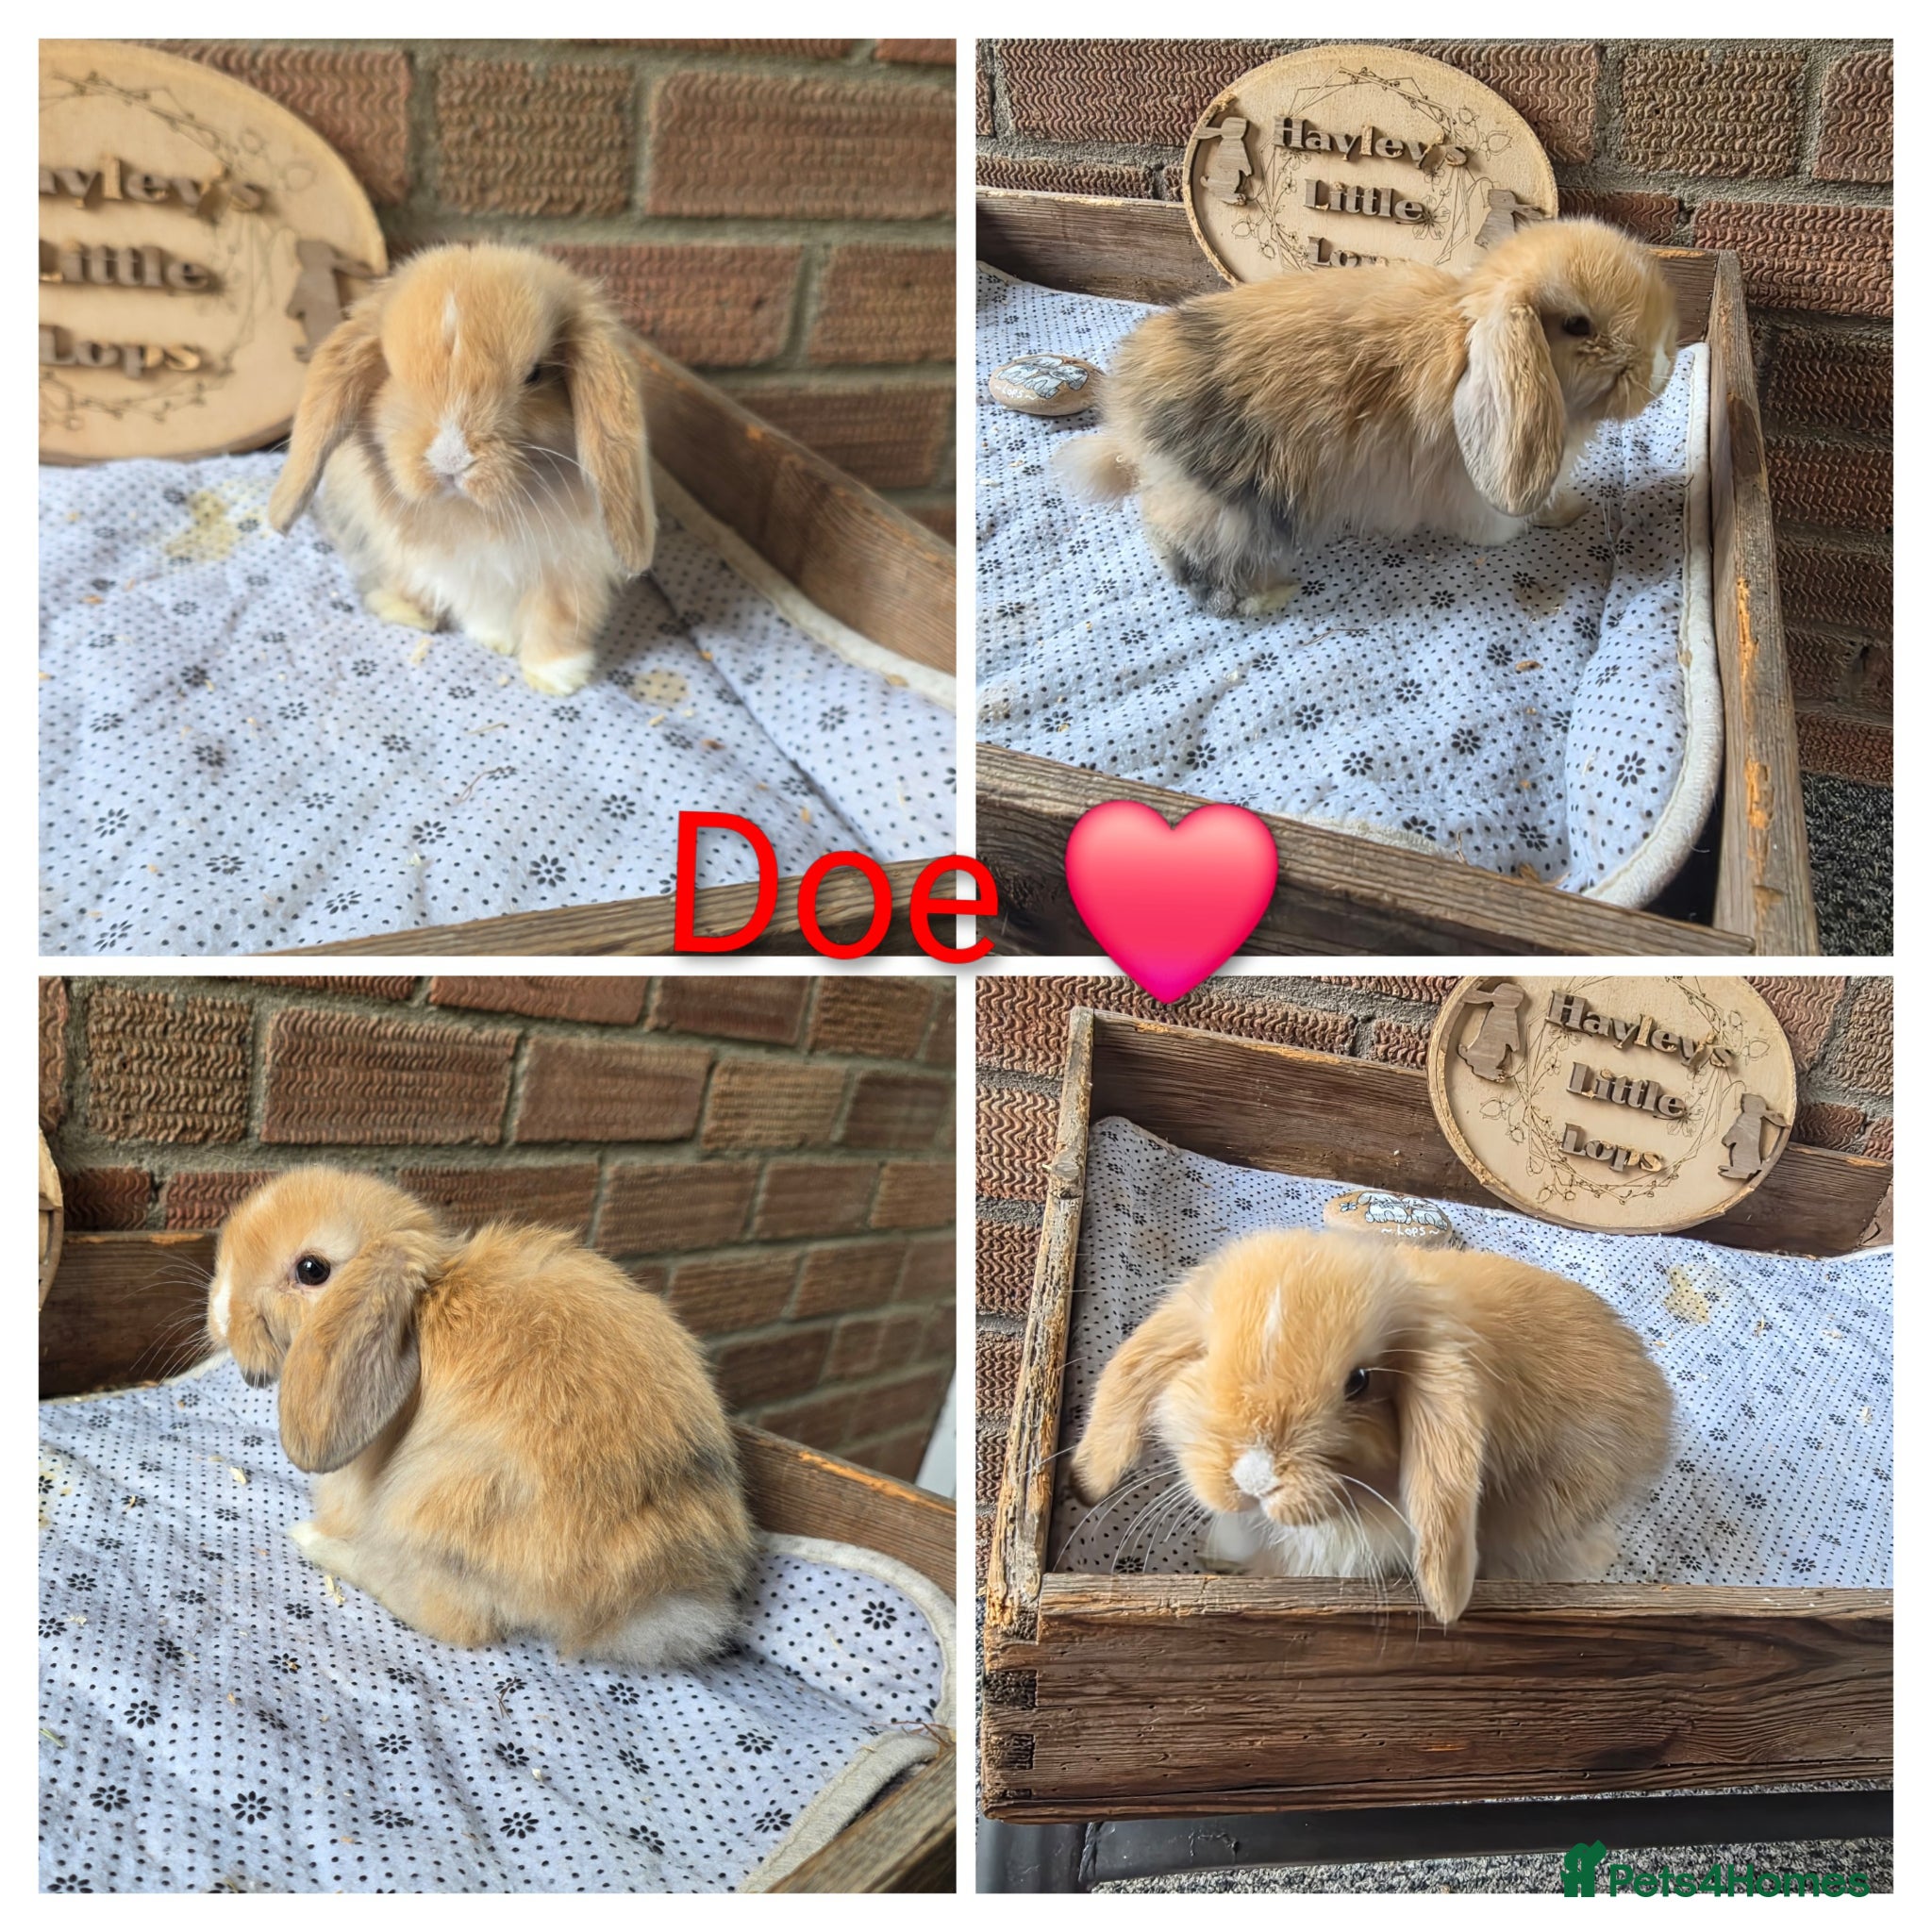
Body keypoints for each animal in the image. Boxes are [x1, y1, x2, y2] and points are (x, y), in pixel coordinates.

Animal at [205, 1166, 754, 1669]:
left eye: (312, 1269)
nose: (221, 1317)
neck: (429, 1296)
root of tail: (650, 1597)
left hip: (443, 1504)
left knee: (455, 1622)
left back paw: (315, 1543)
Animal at [267, 242, 657, 695]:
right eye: (391, 372)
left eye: (536, 374)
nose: (450, 460)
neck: (473, 514)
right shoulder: (451, 566)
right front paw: (490, 637)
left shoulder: (571, 570)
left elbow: (557, 615)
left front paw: (555, 677)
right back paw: (408, 612)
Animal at [1056, 218, 1678, 618]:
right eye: (1577, 325)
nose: (1662, 367)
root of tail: (1130, 409)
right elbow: (1492, 524)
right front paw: (1516, 533)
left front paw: (1568, 511)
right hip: (1227, 508)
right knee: (1194, 561)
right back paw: (1271, 596)